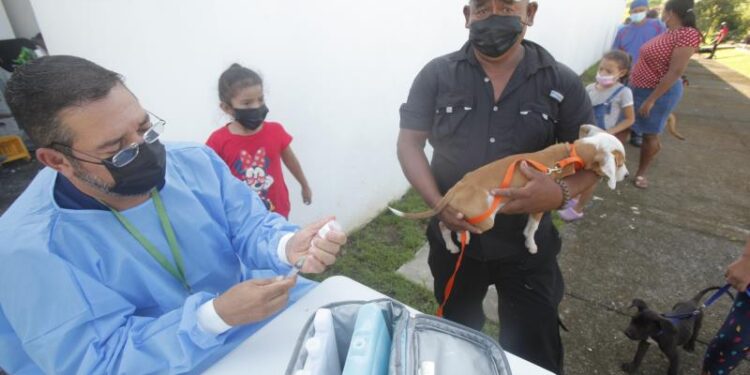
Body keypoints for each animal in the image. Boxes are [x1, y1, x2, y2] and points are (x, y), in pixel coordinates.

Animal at [390, 126, 632, 256]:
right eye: (620, 163)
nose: (628, 176)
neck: (570, 153)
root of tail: (460, 185)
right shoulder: (539, 204)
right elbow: (532, 229)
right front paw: (531, 245)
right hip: (485, 218)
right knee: (453, 226)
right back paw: (460, 238)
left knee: (444, 223)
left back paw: (452, 245)